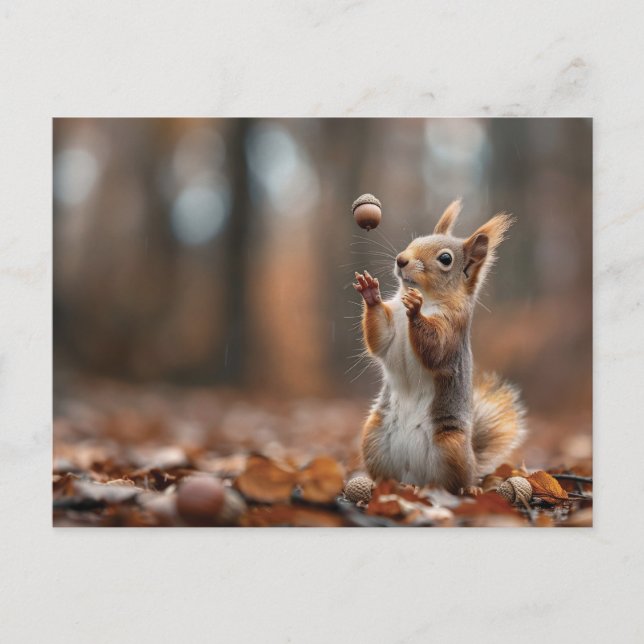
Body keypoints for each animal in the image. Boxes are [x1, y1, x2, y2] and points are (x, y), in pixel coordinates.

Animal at [353, 200, 526, 495]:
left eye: (445, 259)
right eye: (414, 241)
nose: (401, 259)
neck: (429, 297)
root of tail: (414, 476)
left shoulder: (453, 328)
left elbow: (436, 349)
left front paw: (415, 310)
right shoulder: (391, 326)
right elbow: (381, 339)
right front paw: (371, 294)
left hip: (451, 446)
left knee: (455, 481)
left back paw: (468, 489)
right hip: (372, 437)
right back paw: (385, 486)